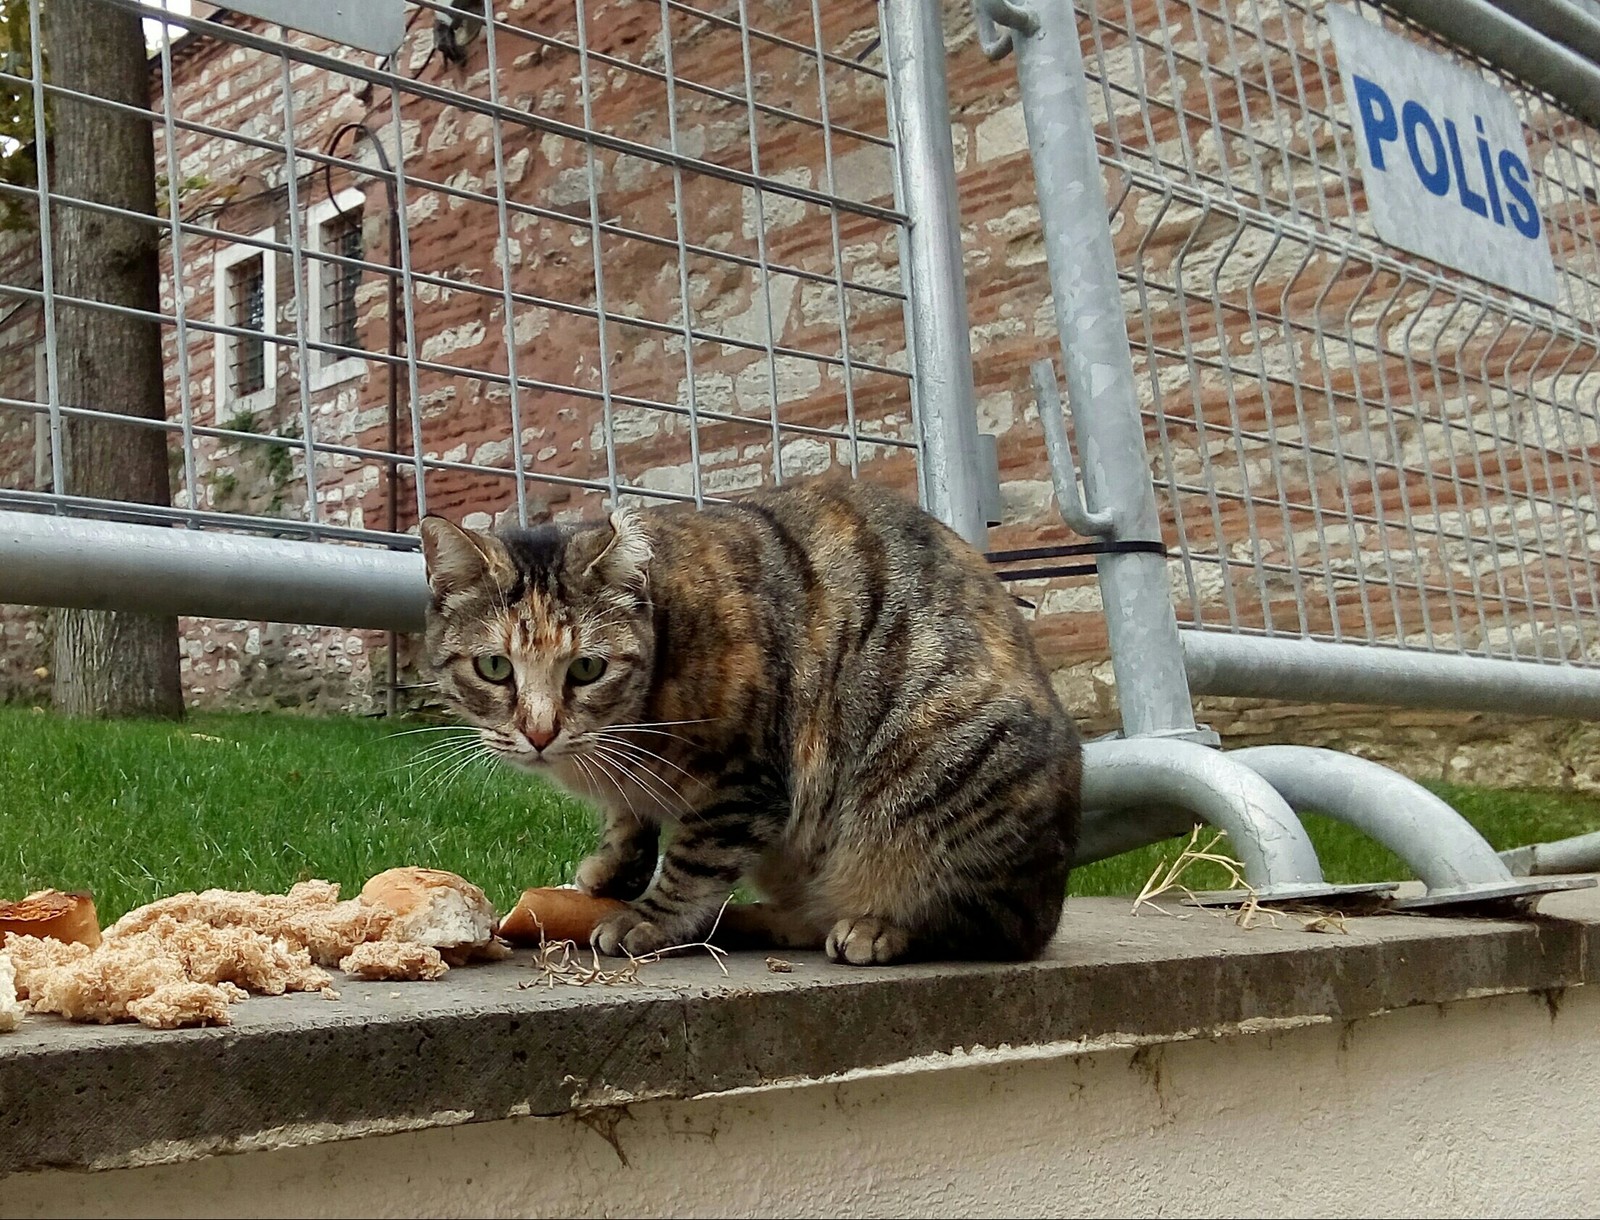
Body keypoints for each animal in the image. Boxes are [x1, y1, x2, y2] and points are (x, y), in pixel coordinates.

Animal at [419, 473, 1081, 960]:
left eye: (585, 668)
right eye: (495, 667)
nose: (539, 731)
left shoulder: (745, 778)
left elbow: (694, 860)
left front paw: (650, 918)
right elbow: (628, 820)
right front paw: (611, 871)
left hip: (941, 776)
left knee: (990, 924)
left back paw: (877, 928)